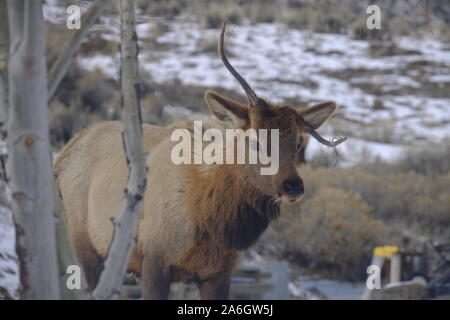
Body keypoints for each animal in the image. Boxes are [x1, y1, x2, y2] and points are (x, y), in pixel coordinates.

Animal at [54, 23, 346, 300]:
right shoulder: (154, 262)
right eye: (254, 141)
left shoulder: (218, 274)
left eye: (297, 144)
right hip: (84, 244)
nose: (293, 185)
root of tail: (64, 153)